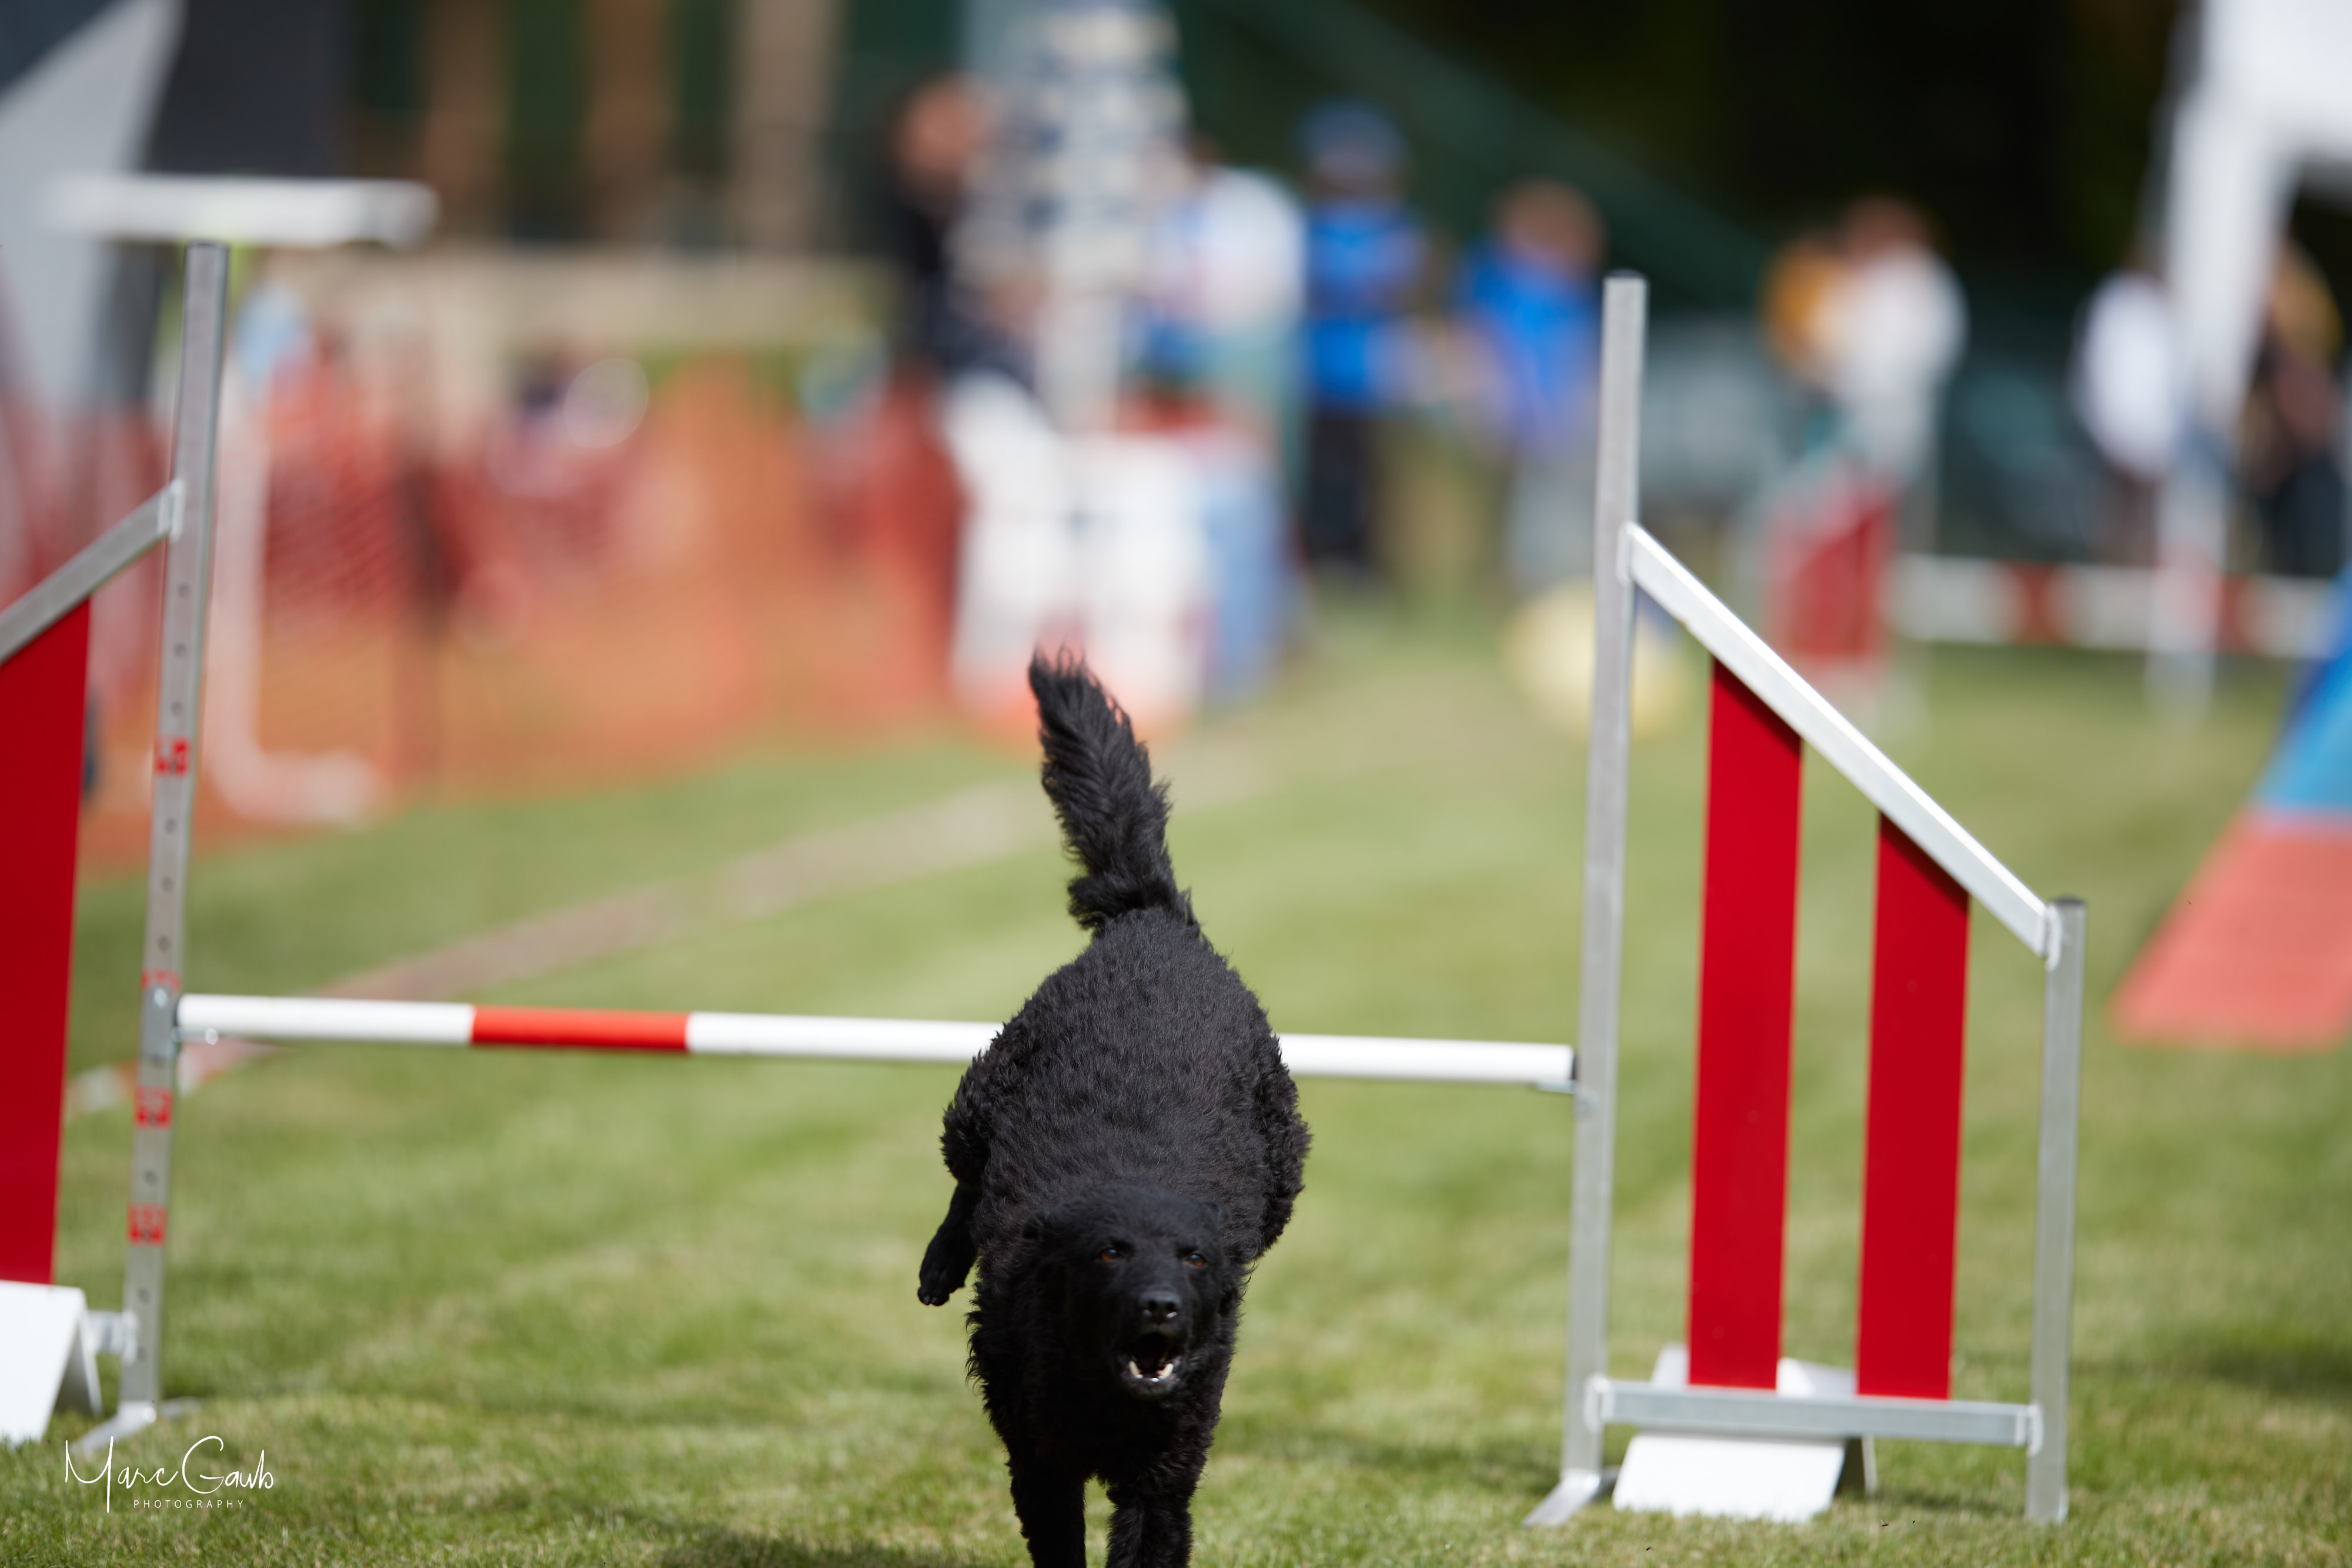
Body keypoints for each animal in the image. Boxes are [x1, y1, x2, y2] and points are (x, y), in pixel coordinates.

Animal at [917, 654, 1310, 1568]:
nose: (1161, 1305)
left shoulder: (1163, 1482)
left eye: (1194, 1258)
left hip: (1284, 1170)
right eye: (1109, 1252)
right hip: (982, 1093)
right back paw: (939, 1264)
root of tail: (1153, 917)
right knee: (964, 1181)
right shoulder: (1041, 1463)